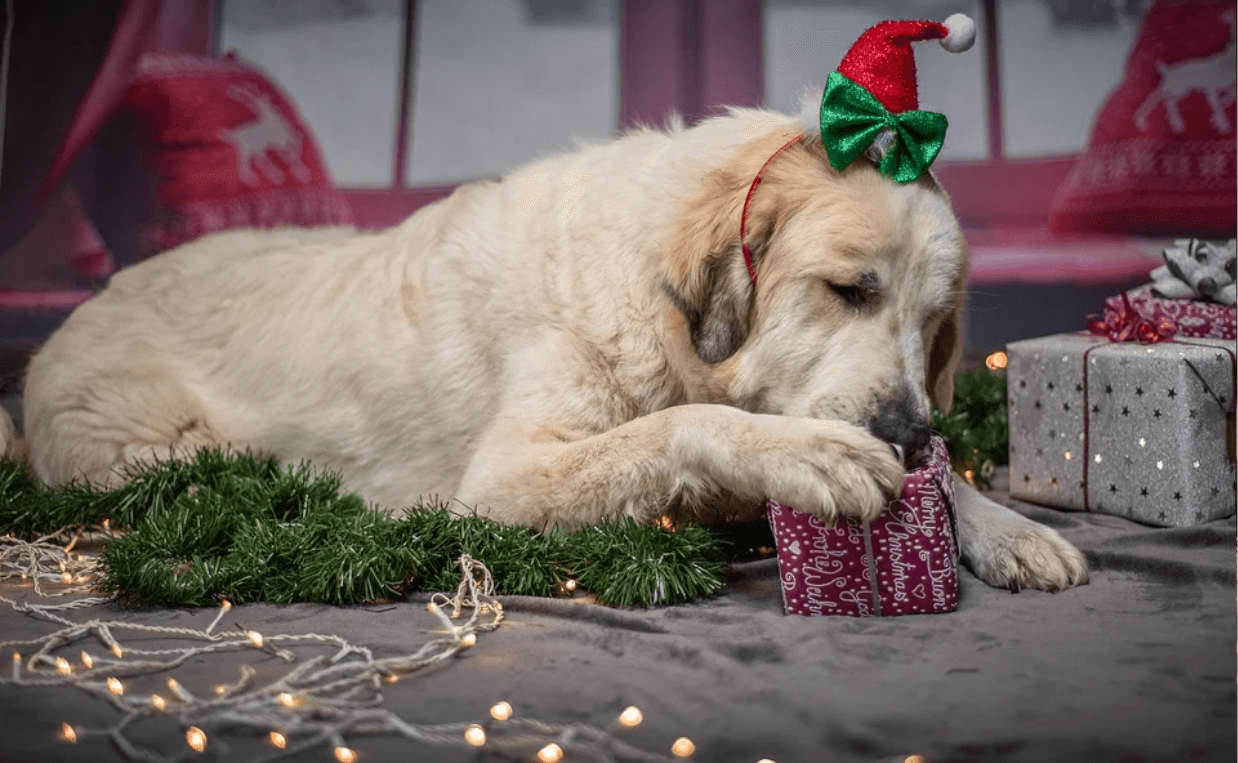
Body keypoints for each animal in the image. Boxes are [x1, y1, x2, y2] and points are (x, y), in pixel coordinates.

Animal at [14, 104, 1089, 597]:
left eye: (932, 324)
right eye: (849, 289)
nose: (906, 433)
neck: (662, 310)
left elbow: (947, 477)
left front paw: (1002, 522)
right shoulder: (503, 480)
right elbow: (683, 422)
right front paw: (809, 454)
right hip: (156, 445)